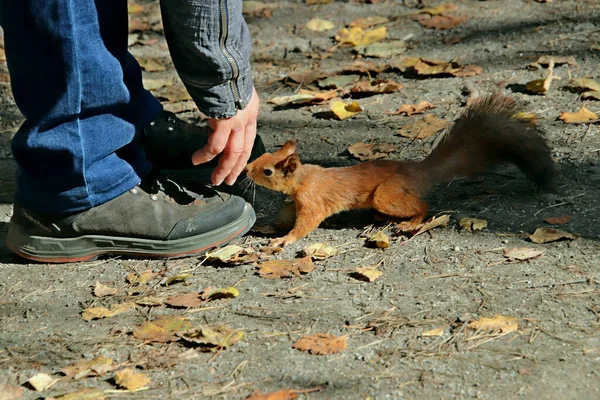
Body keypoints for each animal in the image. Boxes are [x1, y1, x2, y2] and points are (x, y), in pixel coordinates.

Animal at [246, 95, 556, 245]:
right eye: (267, 154)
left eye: (268, 171)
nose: (247, 168)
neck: (302, 179)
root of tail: (419, 172)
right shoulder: (297, 200)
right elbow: (287, 213)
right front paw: (272, 225)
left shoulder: (313, 202)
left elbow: (306, 224)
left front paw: (284, 240)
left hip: (388, 193)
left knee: (422, 206)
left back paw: (408, 223)